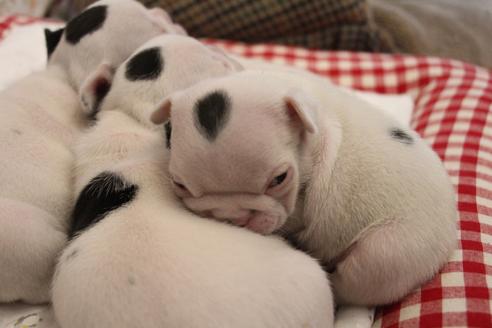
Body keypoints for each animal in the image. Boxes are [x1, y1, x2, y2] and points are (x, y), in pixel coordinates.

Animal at [150, 70, 458, 308]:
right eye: (179, 184)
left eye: (279, 179)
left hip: (388, 253)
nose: (234, 216)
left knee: (355, 281)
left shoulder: (296, 211)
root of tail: (451, 227)